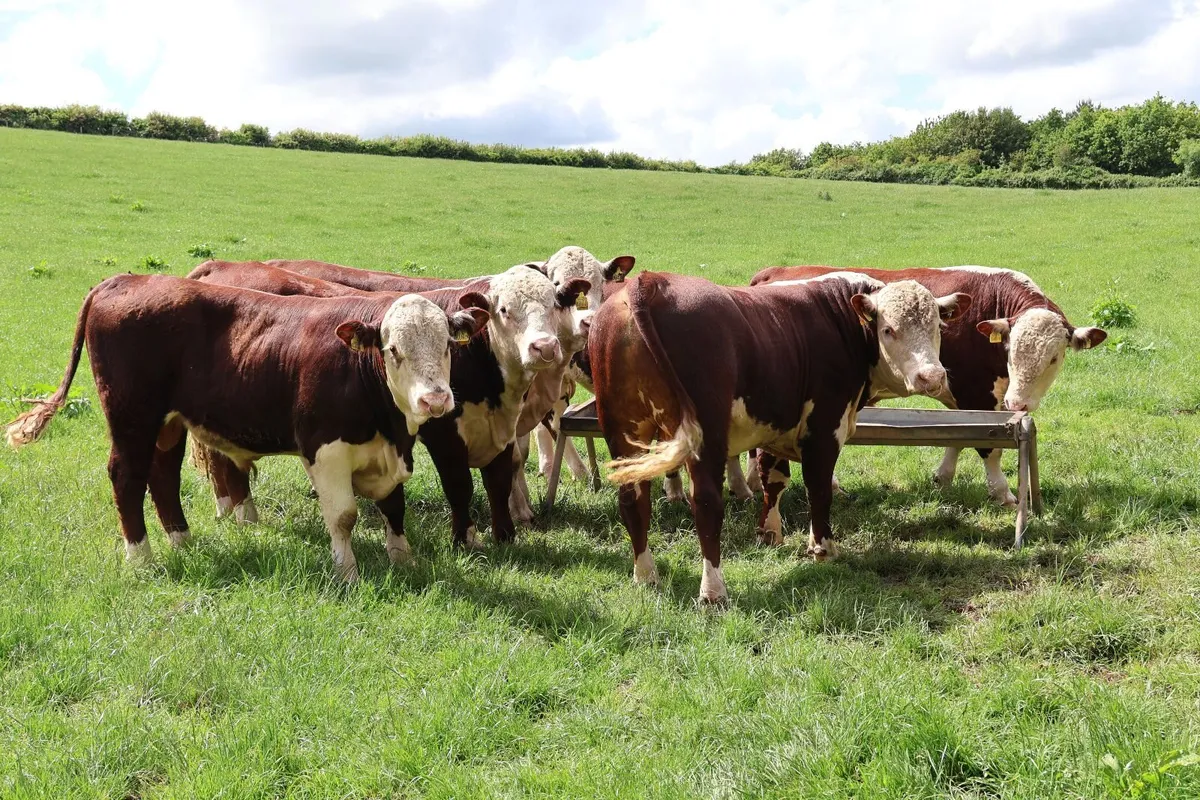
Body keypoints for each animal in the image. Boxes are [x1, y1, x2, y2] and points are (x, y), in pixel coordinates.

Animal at [4, 274, 489, 579]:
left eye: (448, 345)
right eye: (392, 350)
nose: (435, 399)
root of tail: (122, 279)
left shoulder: (391, 451)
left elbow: (394, 507)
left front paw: (403, 561)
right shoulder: (324, 449)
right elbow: (344, 516)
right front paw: (347, 572)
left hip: (169, 422)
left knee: (163, 474)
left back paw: (182, 540)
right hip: (132, 417)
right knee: (127, 477)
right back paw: (142, 559)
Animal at [187, 261, 591, 548]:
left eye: (555, 305)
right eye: (504, 310)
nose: (544, 347)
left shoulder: (503, 429)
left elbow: (500, 479)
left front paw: (506, 536)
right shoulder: (443, 433)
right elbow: (461, 485)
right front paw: (466, 541)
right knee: (222, 460)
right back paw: (236, 512)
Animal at [589, 271, 970, 603]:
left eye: (937, 326)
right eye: (889, 329)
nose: (931, 376)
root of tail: (649, 281)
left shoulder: (776, 426)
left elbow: (773, 480)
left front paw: (770, 534)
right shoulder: (824, 427)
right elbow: (819, 487)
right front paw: (823, 548)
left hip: (623, 432)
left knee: (633, 500)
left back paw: (646, 576)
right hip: (704, 434)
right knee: (707, 504)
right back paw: (713, 592)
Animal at [750, 265, 1106, 505]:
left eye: (1054, 357)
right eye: (1010, 350)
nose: (1018, 404)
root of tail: (771, 273)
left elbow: (958, 436)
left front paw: (943, 477)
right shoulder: (975, 392)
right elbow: (987, 447)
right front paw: (1003, 493)